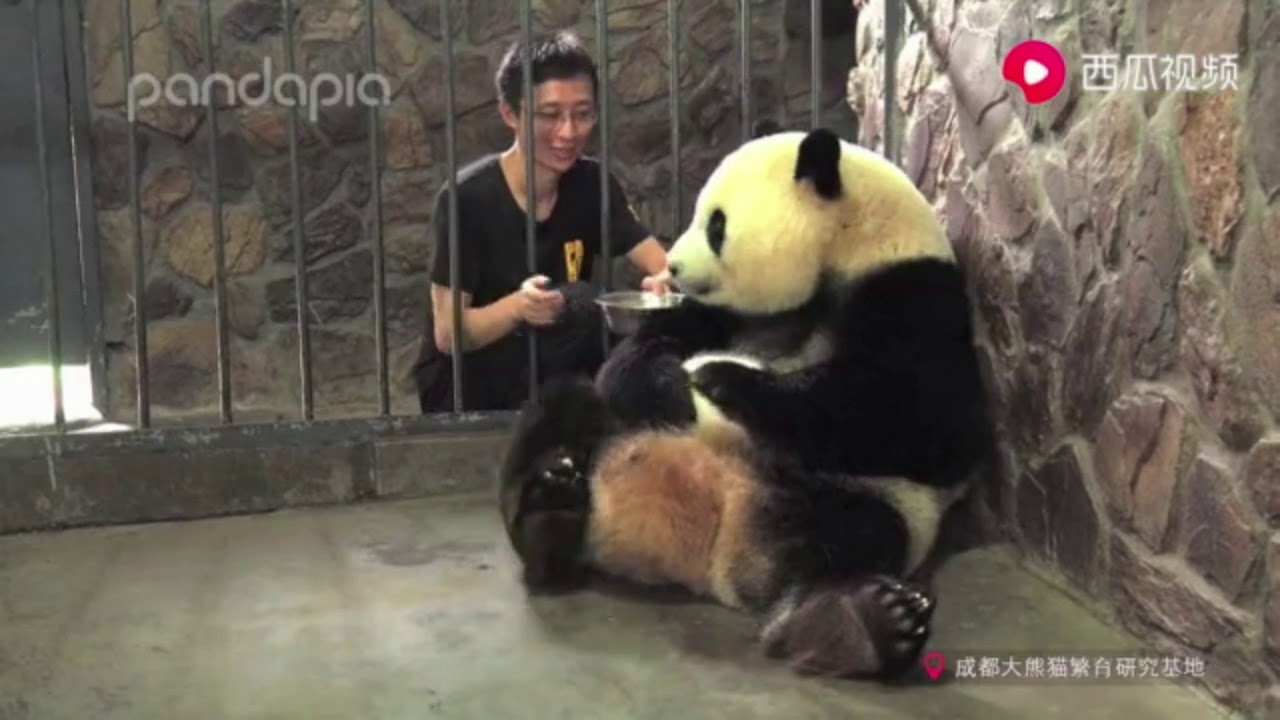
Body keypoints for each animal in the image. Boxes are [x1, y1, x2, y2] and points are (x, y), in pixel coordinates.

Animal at [497, 124, 994, 681]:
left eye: (716, 224)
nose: (671, 265)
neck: (847, 244)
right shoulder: (717, 311)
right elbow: (641, 350)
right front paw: (670, 387)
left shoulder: (914, 292)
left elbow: (931, 419)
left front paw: (723, 378)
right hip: (611, 433)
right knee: (563, 401)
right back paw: (549, 509)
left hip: (860, 499)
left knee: (854, 535)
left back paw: (860, 624)